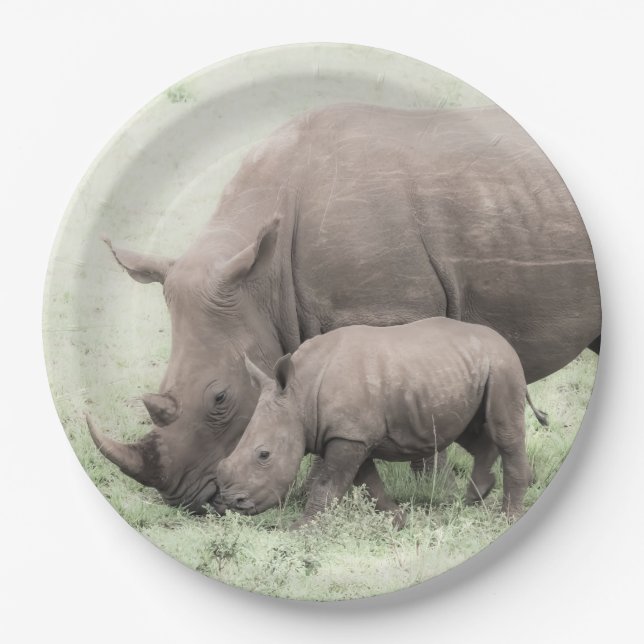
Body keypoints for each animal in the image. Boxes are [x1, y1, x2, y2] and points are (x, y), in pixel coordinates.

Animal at [216, 318, 544, 525]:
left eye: (264, 455)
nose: (234, 503)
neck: (300, 394)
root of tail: (503, 340)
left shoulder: (348, 436)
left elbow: (328, 485)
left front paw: (301, 530)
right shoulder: (352, 435)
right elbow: (368, 484)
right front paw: (398, 521)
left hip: (503, 365)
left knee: (504, 432)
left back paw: (507, 518)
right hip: (466, 369)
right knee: (468, 429)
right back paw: (475, 496)